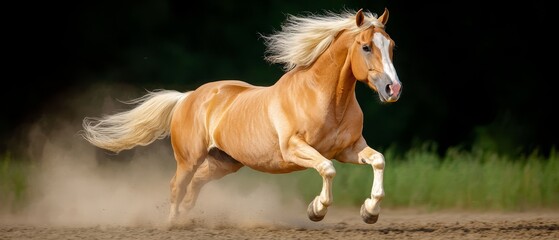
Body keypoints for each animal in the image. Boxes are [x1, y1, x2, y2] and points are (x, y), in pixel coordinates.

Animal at [81, 7, 400, 225]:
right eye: (366, 47)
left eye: (392, 46)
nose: (393, 88)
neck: (326, 100)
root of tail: (188, 97)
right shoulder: (295, 148)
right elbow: (327, 169)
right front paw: (316, 210)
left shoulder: (349, 149)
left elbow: (378, 161)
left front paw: (370, 212)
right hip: (188, 159)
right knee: (177, 186)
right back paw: (171, 224)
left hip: (224, 162)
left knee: (194, 186)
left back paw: (186, 218)